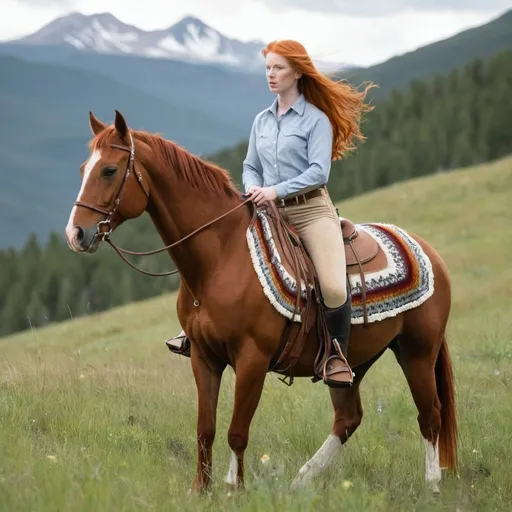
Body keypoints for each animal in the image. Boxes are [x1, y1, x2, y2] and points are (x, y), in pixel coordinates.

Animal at [65, 111, 460, 492]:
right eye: (83, 169)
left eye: (109, 170)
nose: (76, 233)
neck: (221, 258)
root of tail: (426, 249)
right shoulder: (203, 357)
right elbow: (205, 428)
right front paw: (200, 489)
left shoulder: (252, 359)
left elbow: (237, 431)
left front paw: (232, 488)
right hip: (355, 361)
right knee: (348, 418)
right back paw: (301, 481)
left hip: (416, 351)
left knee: (430, 414)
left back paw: (432, 485)